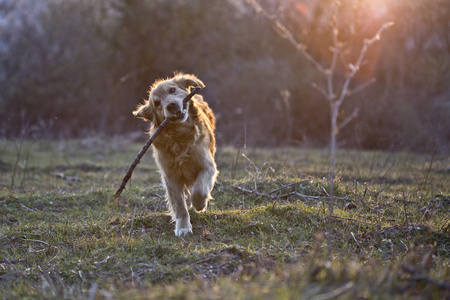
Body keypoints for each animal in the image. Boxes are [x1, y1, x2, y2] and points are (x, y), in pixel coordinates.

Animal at [133, 72, 219, 237]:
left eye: (172, 90)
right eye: (157, 103)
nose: (170, 105)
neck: (180, 136)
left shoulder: (208, 166)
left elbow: (199, 190)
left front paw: (200, 204)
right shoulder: (170, 176)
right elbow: (179, 205)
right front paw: (183, 227)